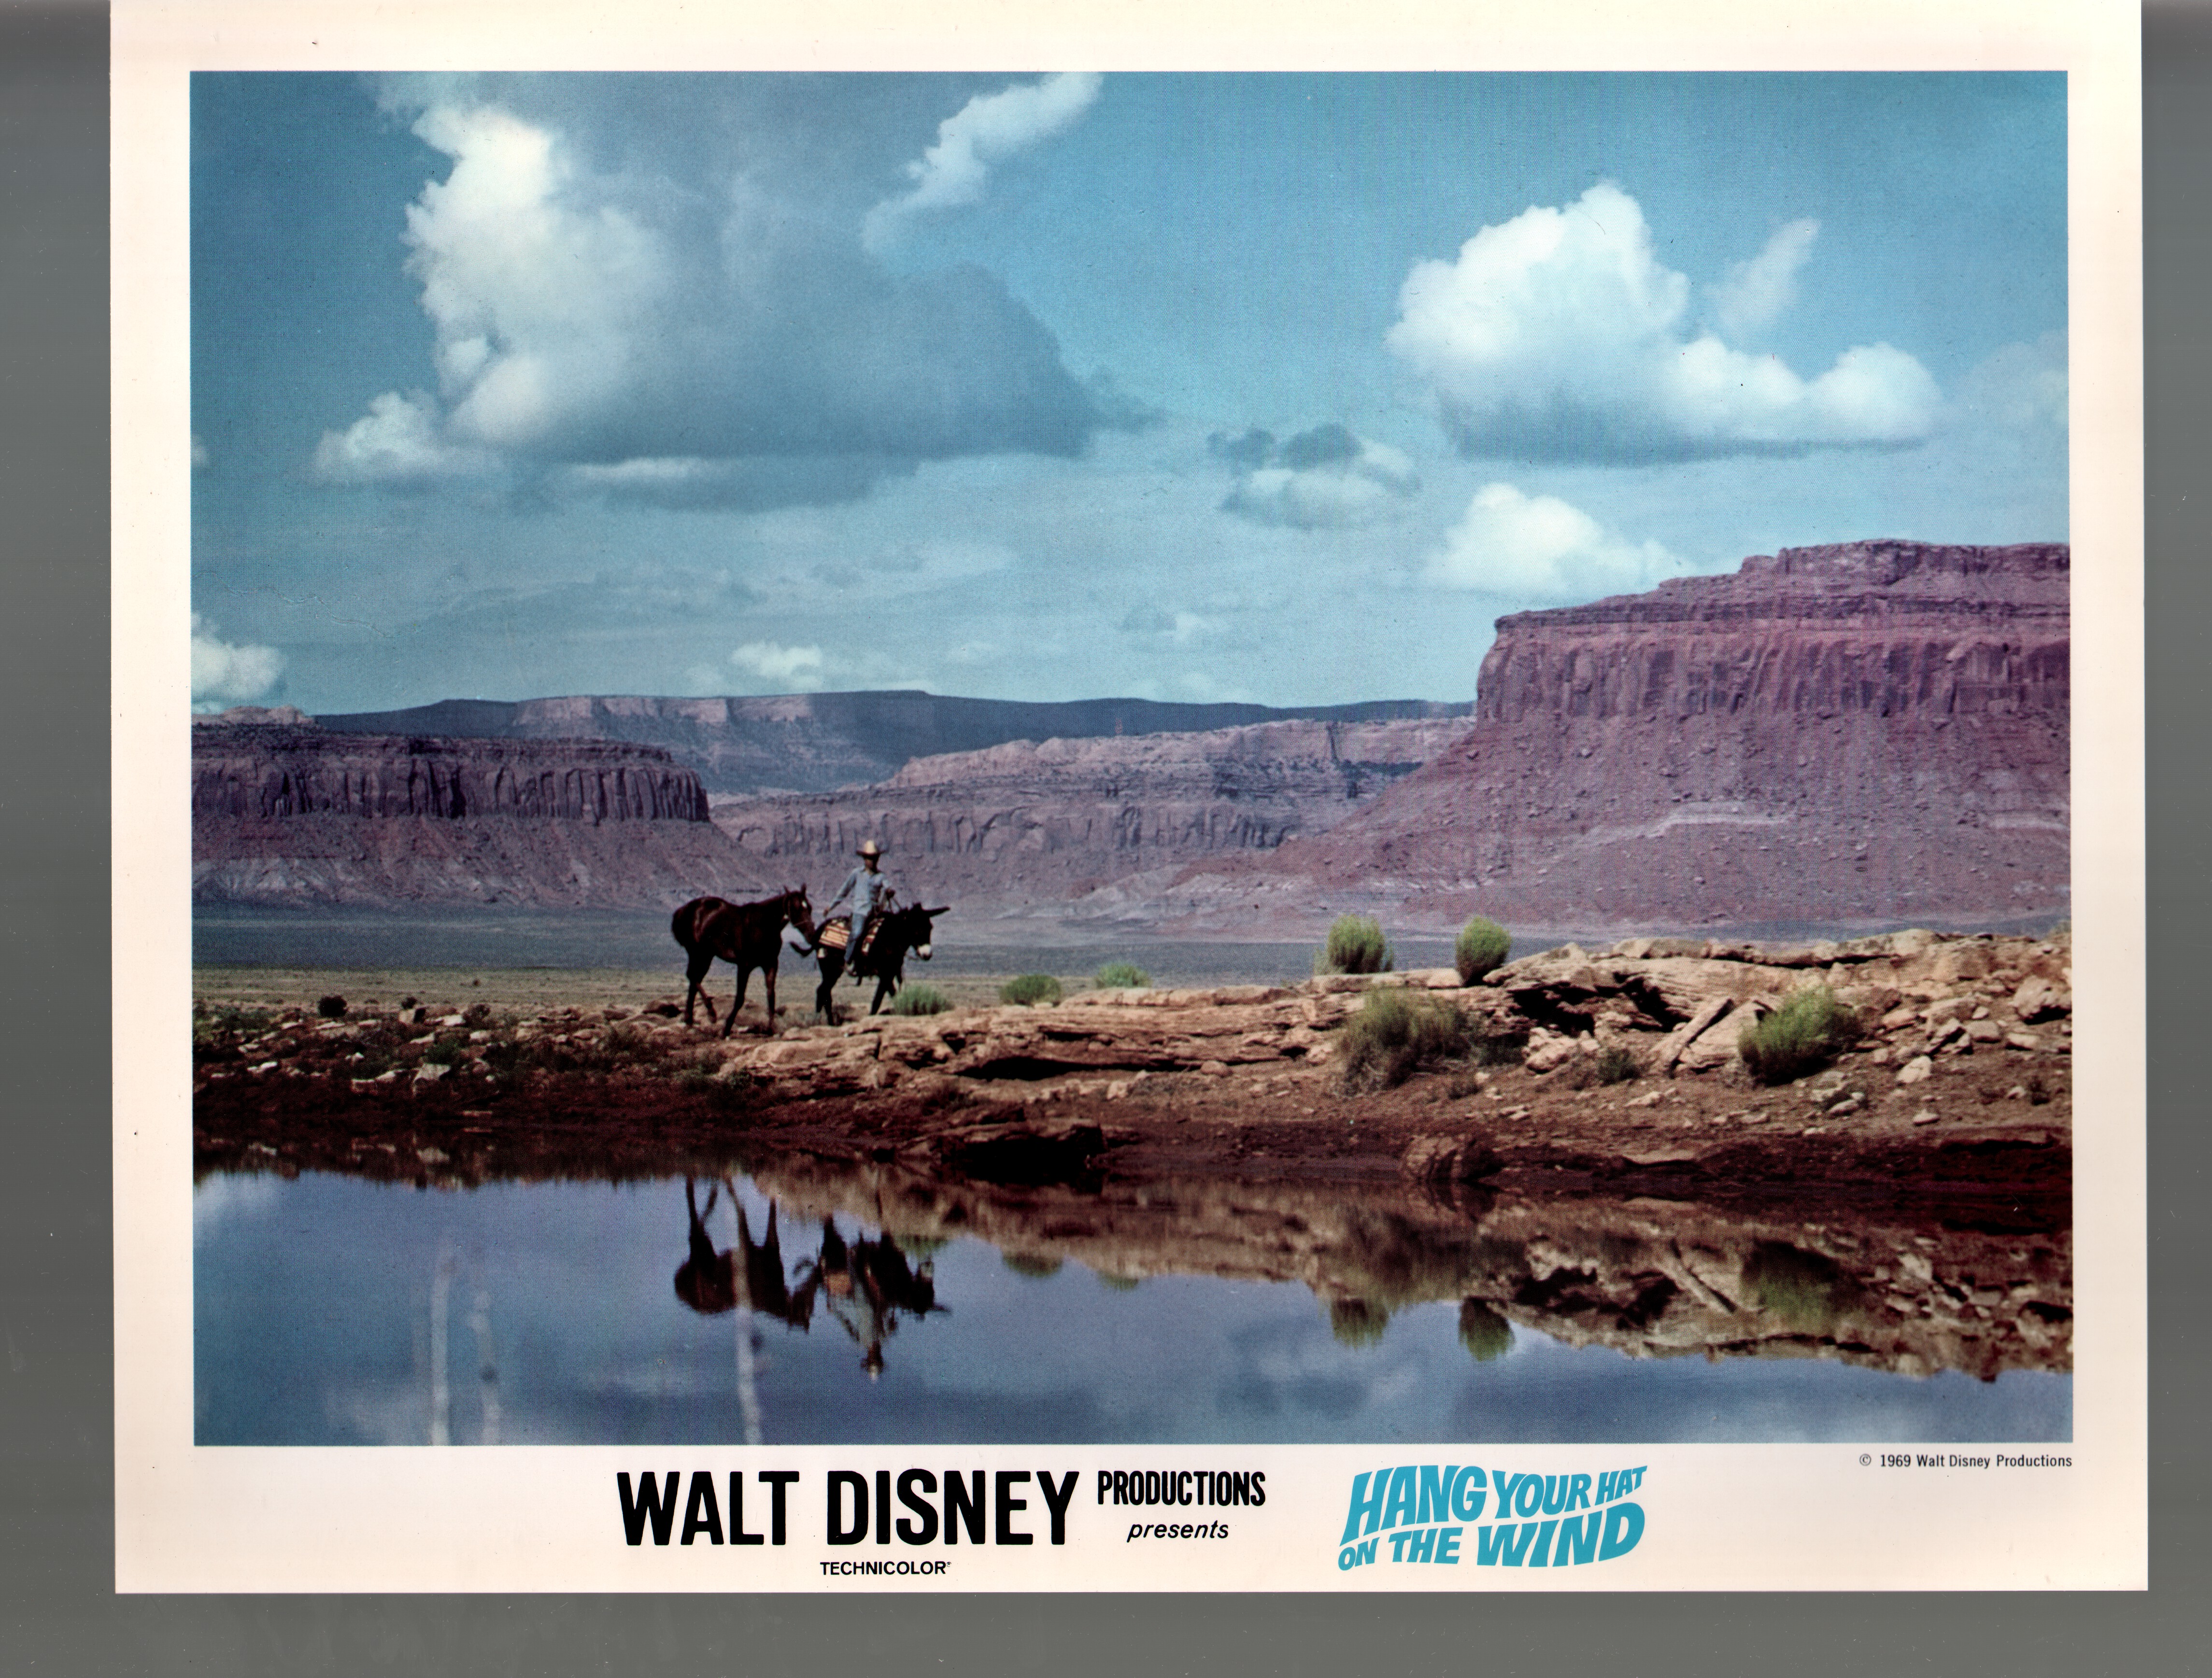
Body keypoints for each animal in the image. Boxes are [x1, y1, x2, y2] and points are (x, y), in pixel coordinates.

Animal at [670, 888, 815, 1037]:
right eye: (796, 908)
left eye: (809, 908)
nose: (811, 935)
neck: (763, 925)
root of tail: (683, 910)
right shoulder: (744, 966)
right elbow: (740, 998)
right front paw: (726, 1029)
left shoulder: (770, 965)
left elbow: (771, 996)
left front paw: (770, 1029)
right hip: (696, 952)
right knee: (692, 976)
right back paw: (711, 1014)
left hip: (706, 955)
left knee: (695, 980)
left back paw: (690, 1020)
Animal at [813, 901, 949, 1023]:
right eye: (915, 929)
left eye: (930, 927)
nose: (927, 955)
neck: (890, 939)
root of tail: (822, 929)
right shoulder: (884, 974)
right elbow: (881, 999)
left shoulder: (891, 973)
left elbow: (887, 997)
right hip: (831, 970)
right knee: (824, 992)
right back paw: (825, 1022)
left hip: (832, 972)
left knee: (823, 992)